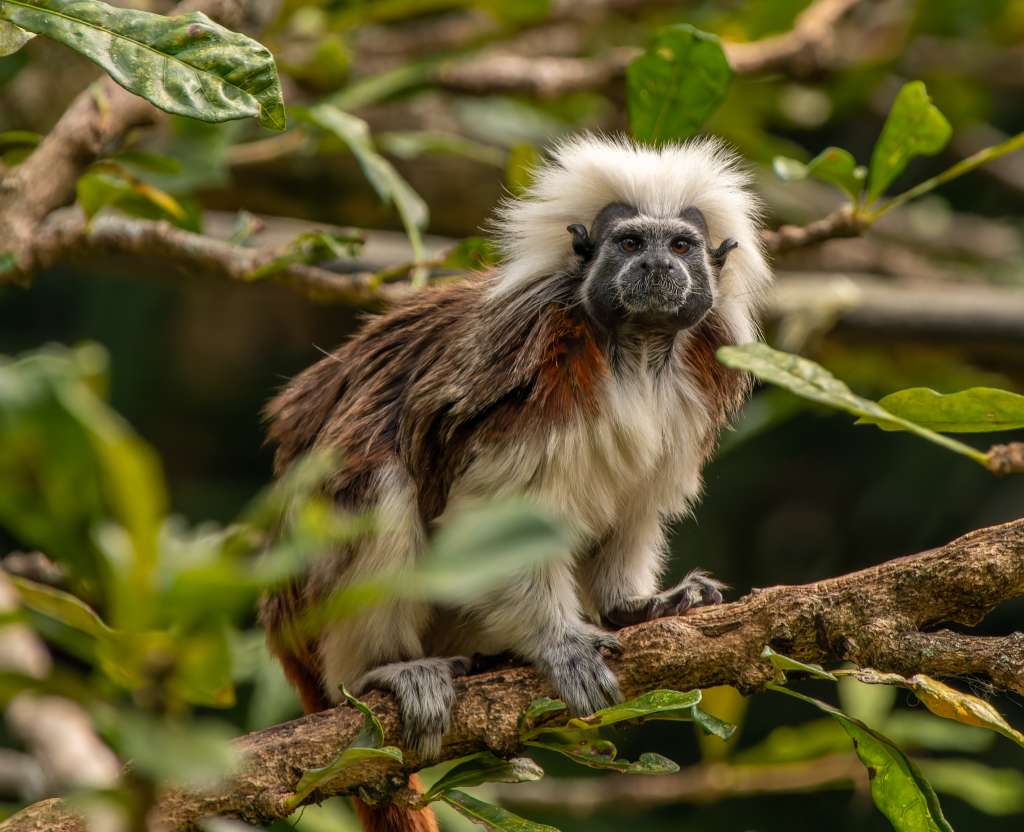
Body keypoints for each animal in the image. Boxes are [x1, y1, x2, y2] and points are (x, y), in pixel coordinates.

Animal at [259, 135, 771, 831]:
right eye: (630, 243)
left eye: (682, 245)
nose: (657, 267)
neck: (636, 355)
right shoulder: (531, 376)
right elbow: (492, 518)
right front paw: (559, 645)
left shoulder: (685, 401)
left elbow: (636, 506)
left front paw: (637, 605)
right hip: (313, 605)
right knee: (378, 480)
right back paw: (381, 672)